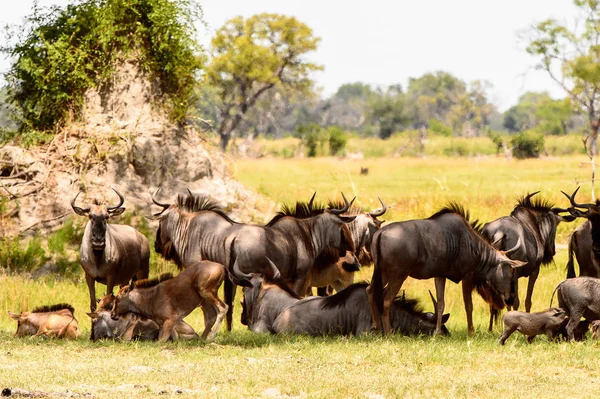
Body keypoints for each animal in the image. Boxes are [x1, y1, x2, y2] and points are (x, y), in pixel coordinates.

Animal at [111, 260, 243, 342]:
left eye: (117, 298)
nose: (112, 314)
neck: (150, 300)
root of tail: (223, 268)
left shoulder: (171, 319)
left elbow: (160, 342)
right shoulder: (164, 324)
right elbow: (173, 339)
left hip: (205, 291)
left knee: (223, 307)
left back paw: (210, 338)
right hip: (204, 299)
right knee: (211, 316)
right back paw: (202, 339)